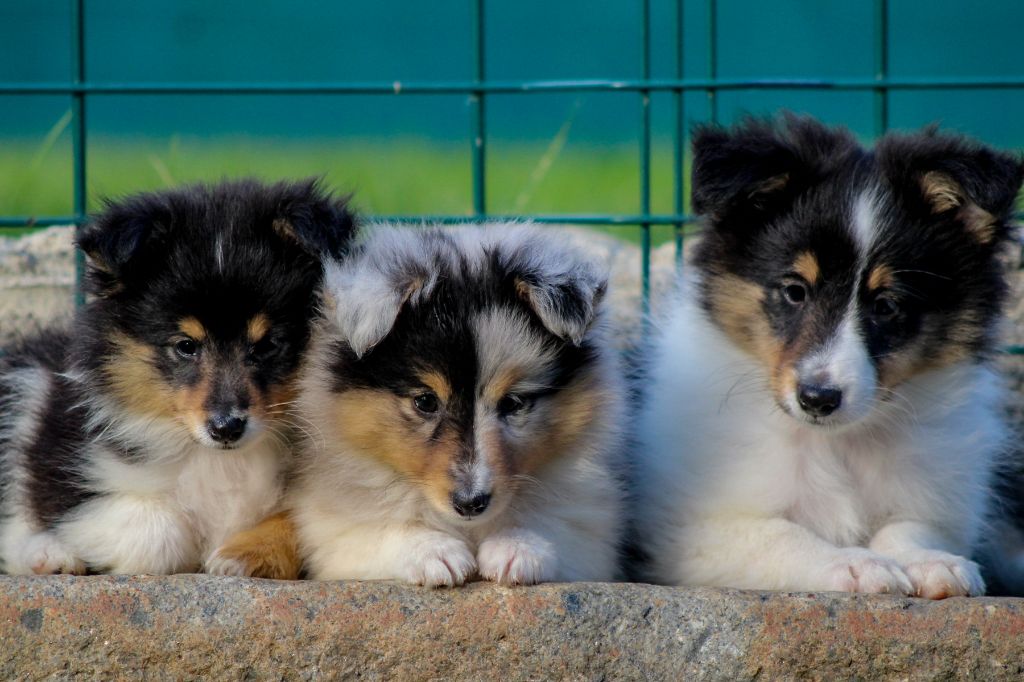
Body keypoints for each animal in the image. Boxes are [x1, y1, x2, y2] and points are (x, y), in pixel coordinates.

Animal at [0, 178, 356, 569]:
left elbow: (299, 521)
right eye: (186, 345)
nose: (226, 428)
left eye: (267, 345)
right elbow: (158, 532)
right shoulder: (70, 473)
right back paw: (50, 554)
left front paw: (238, 556)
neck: (222, 460)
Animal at [218, 224, 622, 585]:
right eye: (426, 401)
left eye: (514, 402)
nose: (471, 503)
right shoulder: (335, 533)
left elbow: (557, 525)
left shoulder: (591, 531)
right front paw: (434, 553)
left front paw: (517, 548)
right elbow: (376, 530)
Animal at [630, 115, 1024, 593]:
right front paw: (855, 564)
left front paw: (931, 561)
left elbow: (910, 526)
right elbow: (780, 533)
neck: (835, 443)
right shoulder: (686, 532)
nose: (818, 399)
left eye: (886, 305)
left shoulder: (942, 506)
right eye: (795, 290)